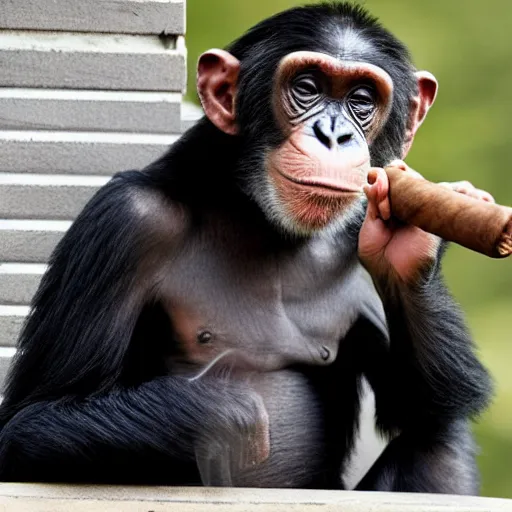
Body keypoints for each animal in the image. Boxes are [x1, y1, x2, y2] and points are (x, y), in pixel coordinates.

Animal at [0, 1, 492, 496]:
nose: (334, 134)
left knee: (439, 436)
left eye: (361, 99)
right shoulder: (124, 222)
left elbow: (416, 406)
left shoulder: (353, 237)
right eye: (307, 88)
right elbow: (29, 420)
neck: (258, 216)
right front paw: (225, 412)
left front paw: (415, 234)